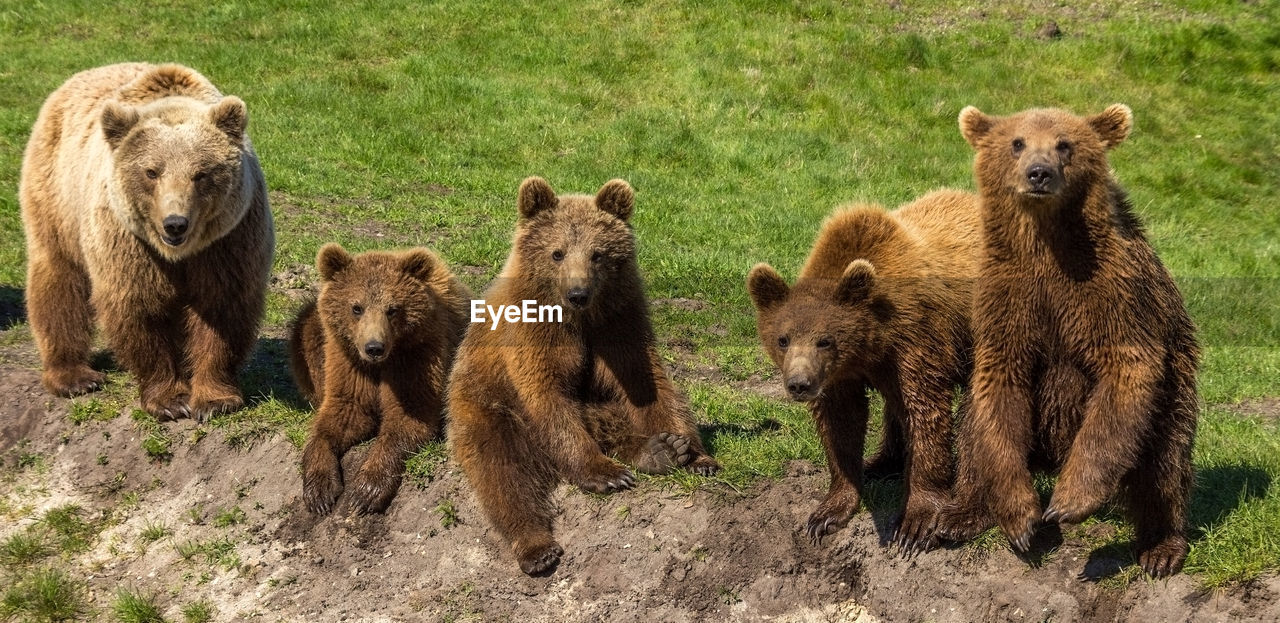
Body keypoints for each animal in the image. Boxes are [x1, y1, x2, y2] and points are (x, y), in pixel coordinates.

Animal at [18, 63, 273, 422]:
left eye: (202, 173)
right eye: (152, 171)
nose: (175, 223)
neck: (178, 254)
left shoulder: (229, 239)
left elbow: (221, 307)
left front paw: (214, 399)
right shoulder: (128, 241)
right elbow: (140, 307)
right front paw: (170, 400)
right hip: (57, 196)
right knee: (58, 279)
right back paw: (73, 376)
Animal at [289, 245, 471, 516]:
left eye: (392, 309)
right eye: (356, 307)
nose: (374, 347)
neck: (380, 364)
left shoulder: (416, 358)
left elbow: (407, 417)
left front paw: (365, 491)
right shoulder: (349, 363)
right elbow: (340, 417)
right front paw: (319, 491)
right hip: (311, 335)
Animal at [450, 175, 721, 575]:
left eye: (598, 254)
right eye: (557, 252)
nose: (578, 292)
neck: (578, 318)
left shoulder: (618, 322)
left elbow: (648, 385)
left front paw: (695, 454)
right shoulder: (533, 332)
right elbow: (547, 393)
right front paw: (604, 473)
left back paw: (658, 450)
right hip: (487, 409)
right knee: (502, 474)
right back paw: (536, 546)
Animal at [747, 189, 977, 550]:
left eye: (824, 340)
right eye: (783, 339)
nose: (799, 384)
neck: (872, 342)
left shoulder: (918, 340)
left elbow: (925, 411)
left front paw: (915, 523)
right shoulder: (841, 375)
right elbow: (841, 422)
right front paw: (827, 513)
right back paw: (882, 462)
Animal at [931, 103, 1198, 580]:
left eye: (1065, 144)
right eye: (1017, 142)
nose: (1038, 173)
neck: (1048, 246)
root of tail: (1049, 458)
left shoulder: (1113, 292)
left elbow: (1126, 371)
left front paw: (1067, 503)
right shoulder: (1008, 299)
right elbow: (999, 388)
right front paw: (1020, 519)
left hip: (1174, 392)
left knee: (1164, 461)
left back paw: (1161, 547)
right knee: (973, 430)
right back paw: (960, 515)